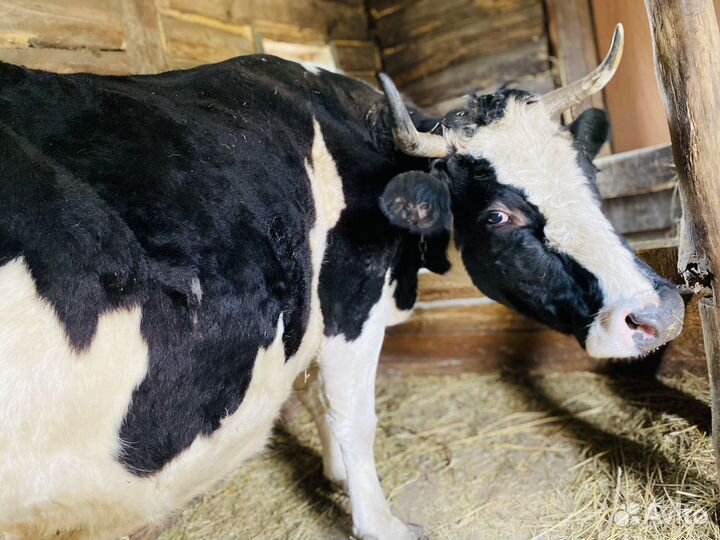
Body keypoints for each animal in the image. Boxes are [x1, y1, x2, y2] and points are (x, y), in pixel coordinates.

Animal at [0, 24, 683, 540]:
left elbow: (319, 399)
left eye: (591, 176)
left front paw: (334, 474)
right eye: (497, 215)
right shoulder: (351, 304)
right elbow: (353, 416)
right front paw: (381, 522)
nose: (658, 313)